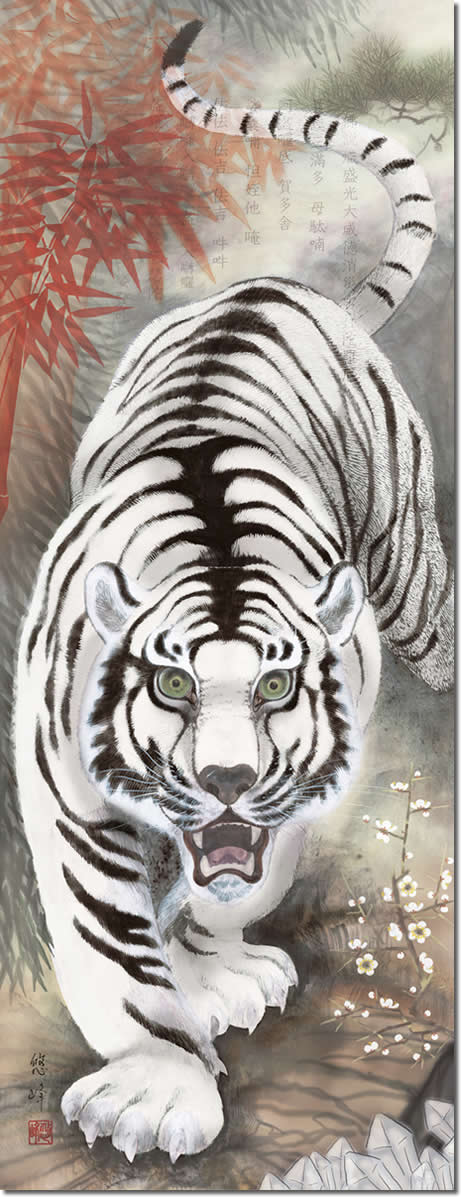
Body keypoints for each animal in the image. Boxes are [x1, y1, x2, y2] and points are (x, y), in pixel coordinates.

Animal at [14, 19, 453, 1164]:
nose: (221, 779)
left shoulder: (312, 766)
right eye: (168, 687)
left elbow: (247, 873)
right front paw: (156, 1085)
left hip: (415, 584)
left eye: (275, 689)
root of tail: (281, 290)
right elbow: (109, 945)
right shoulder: (61, 785)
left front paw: (213, 968)